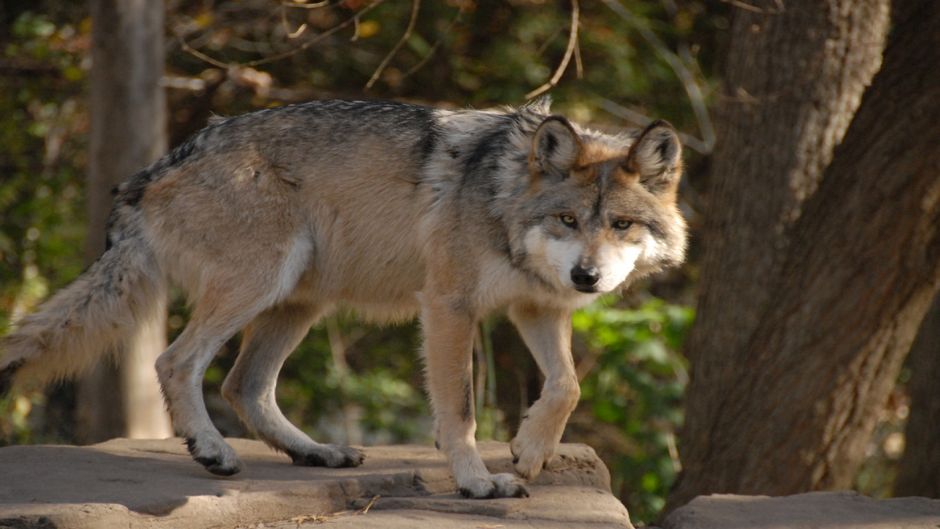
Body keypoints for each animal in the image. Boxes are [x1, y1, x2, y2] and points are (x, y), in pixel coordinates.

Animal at [0, 99, 686, 498]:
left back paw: (315, 452)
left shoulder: (536, 307)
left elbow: (567, 385)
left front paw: (531, 450)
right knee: (176, 362)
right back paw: (213, 451)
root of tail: (153, 169)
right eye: (568, 220)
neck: (504, 193)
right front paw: (476, 481)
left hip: (301, 300)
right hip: (261, 283)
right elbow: (460, 412)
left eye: (620, 225)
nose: (588, 278)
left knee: (244, 385)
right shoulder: (449, 306)